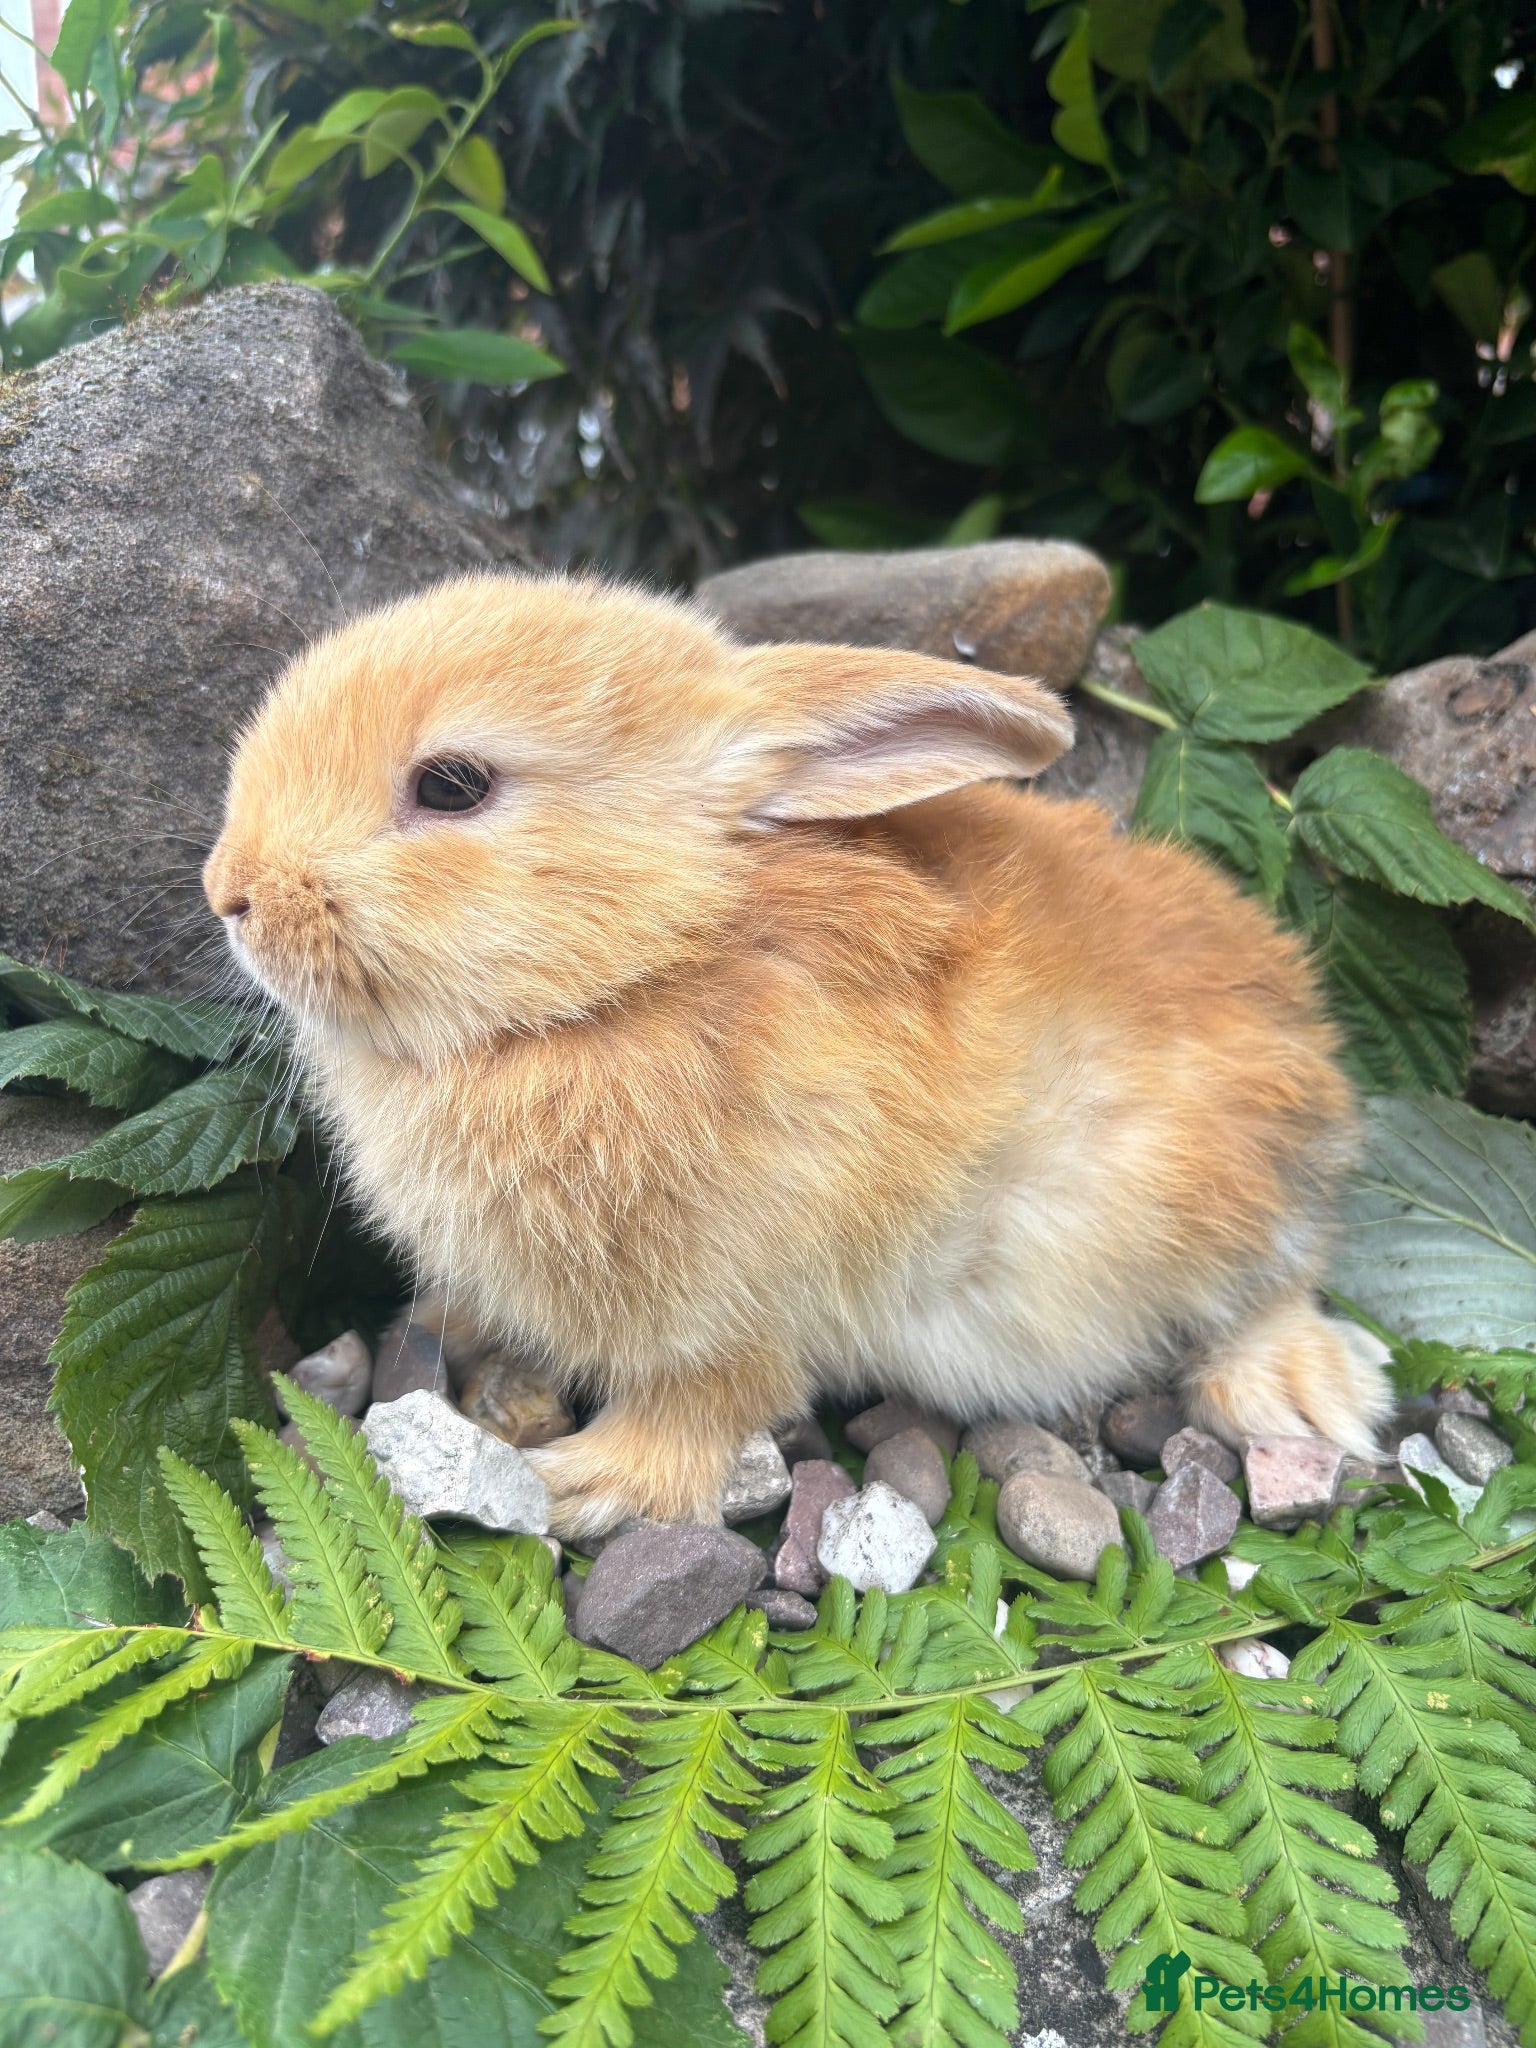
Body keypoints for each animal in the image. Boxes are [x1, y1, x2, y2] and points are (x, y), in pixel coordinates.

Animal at [204, 570, 1393, 1538]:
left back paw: (1299, 1394)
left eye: (452, 784)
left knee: (1276, 1287)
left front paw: (581, 1483)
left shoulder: (742, 1306)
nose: (232, 893)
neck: (648, 970)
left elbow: (704, 1407)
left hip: (1216, 1206)